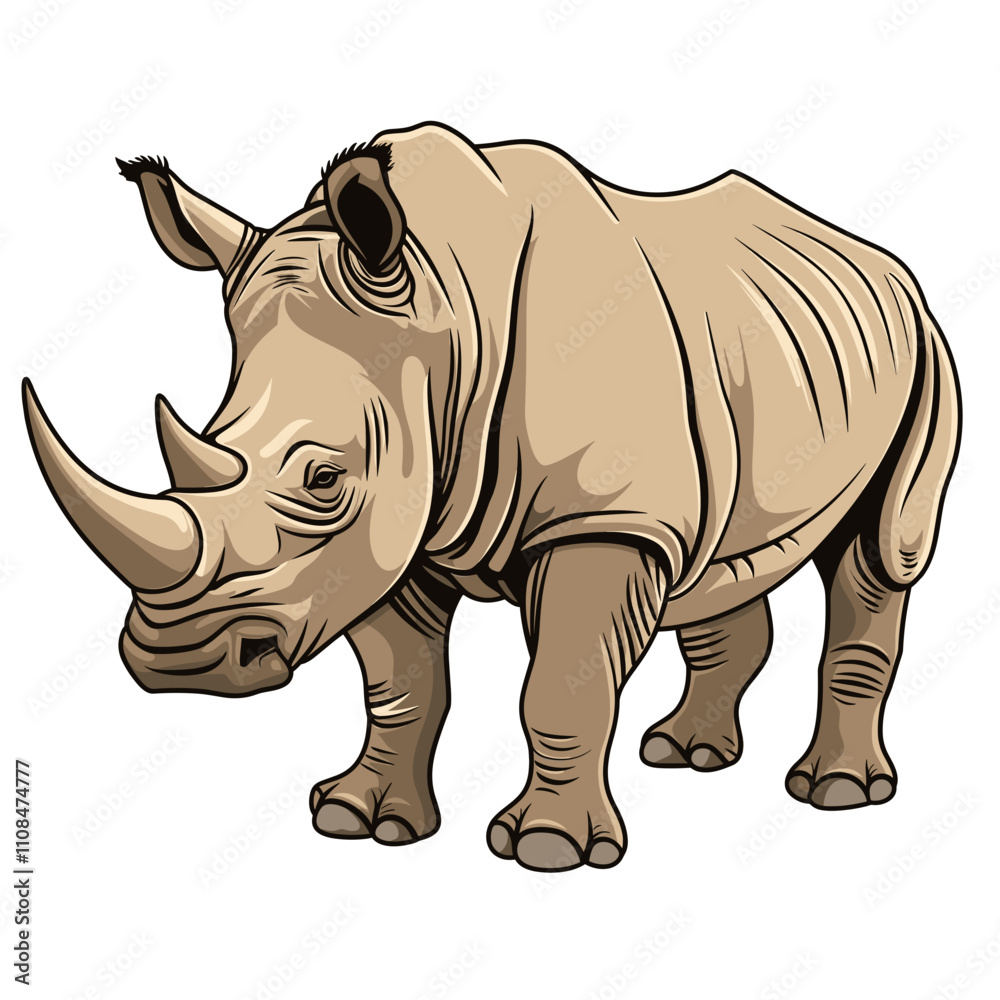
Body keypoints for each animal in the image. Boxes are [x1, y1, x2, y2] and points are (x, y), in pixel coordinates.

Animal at [24, 122, 960, 871]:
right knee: (718, 564)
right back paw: (685, 754)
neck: (446, 309)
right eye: (207, 438)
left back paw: (836, 791)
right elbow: (400, 683)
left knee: (883, 552)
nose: (175, 663)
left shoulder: (602, 519)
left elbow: (561, 684)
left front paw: (548, 849)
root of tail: (880, 261)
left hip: (925, 347)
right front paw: (358, 820)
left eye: (324, 479)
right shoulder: (401, 526)